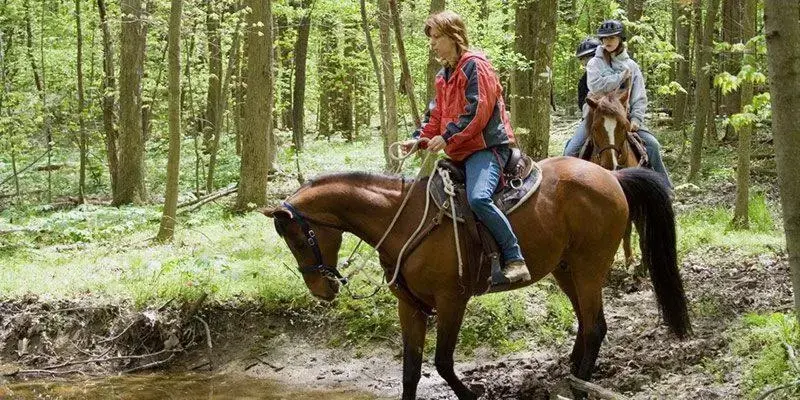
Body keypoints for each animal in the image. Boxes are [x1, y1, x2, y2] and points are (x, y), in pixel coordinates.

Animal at [260, 158, 688, 398]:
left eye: (300, 238)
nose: (322, 289)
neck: (404, 220)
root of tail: (612, 177)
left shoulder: (452, 301)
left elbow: (443, 363)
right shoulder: (409, 306)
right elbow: (411, 371)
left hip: (588, 267)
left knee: (596, 326)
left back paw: (579, 387)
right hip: (565, 269)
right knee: (585, 324)